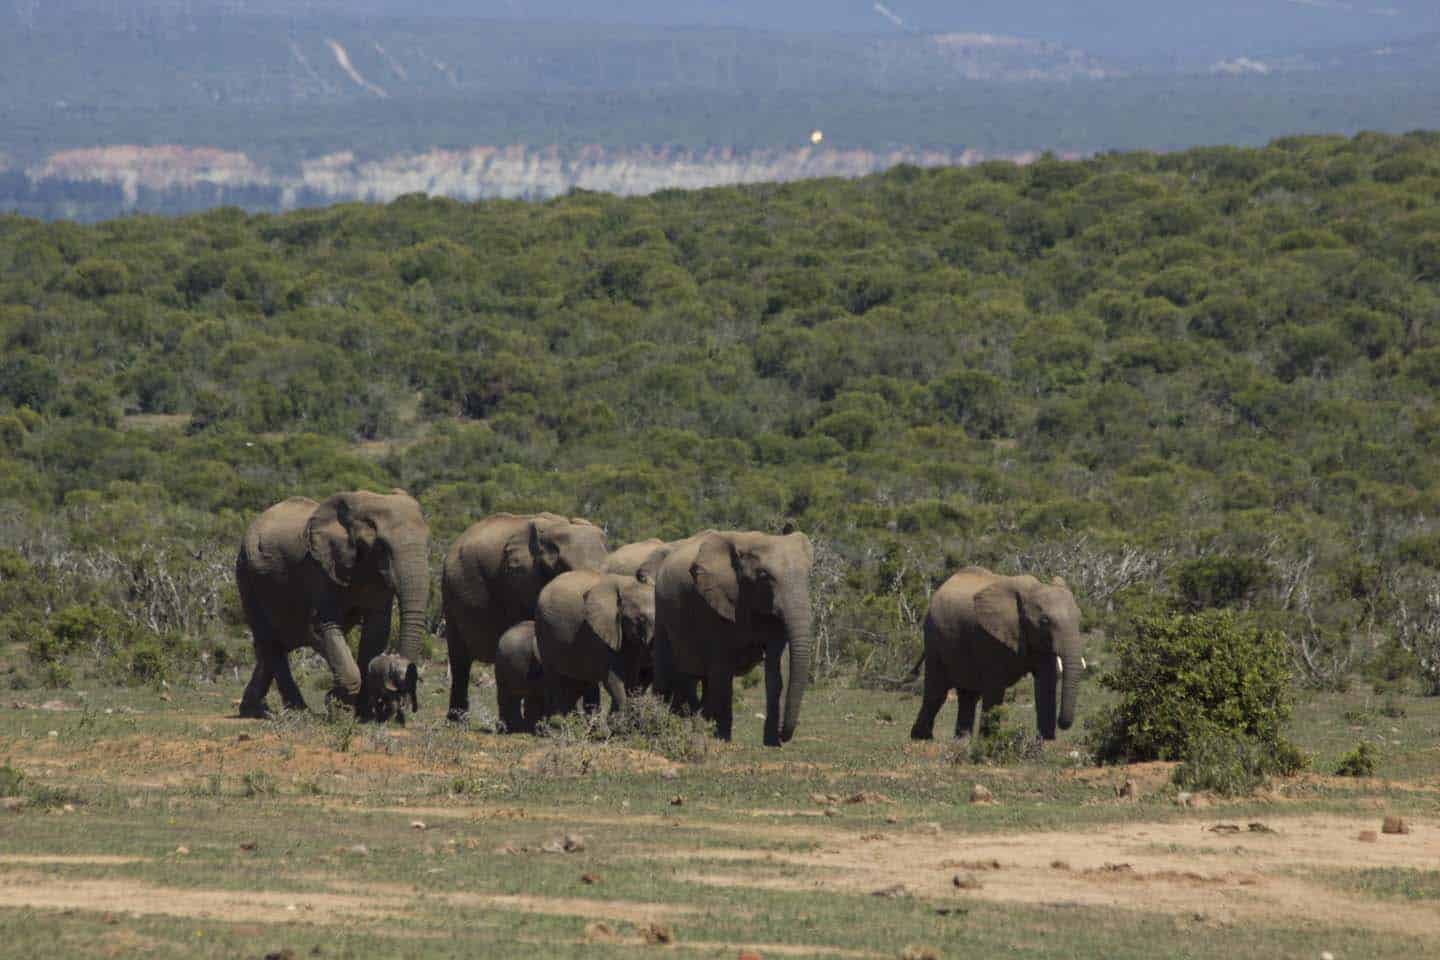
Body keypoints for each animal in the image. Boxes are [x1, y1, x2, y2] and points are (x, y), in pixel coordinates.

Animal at [233, 489, 426, 719]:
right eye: (382, 547)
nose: (396, 669)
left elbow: (377, 628)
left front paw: (361, 713)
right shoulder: (318, 568)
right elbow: (324, 626)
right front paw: (338, 707)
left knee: (277, 644)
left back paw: (254, 710)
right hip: (247, 576)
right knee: (272, 642)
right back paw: (298, 712)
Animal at [535, 569, 659, 719]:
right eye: (641, 619)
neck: (626, 584)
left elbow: (631, 678)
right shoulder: (598, 634)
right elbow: (613, 680)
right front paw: (620, 721)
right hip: (543, 634)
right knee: (556, 682)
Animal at [653, 529, 812, 748]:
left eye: (808, 575)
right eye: (764, 576)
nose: (783, 734)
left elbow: (775, 671)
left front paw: (771, 743)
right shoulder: (714, 605)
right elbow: (723, 671)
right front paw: (723, 739)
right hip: (661, 610)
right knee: (671, 669)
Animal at [910, 564, 1082, 742]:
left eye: (1079, 618)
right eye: (1044, 621)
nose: (1062, 723)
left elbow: (1046, 682)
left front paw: (1045, 741)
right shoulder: (990, 637)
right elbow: (995, 687)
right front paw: (989, 741)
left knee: (967, 695)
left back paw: (961, 739)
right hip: (933, 638)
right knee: (937, 691)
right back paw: (922, 738)